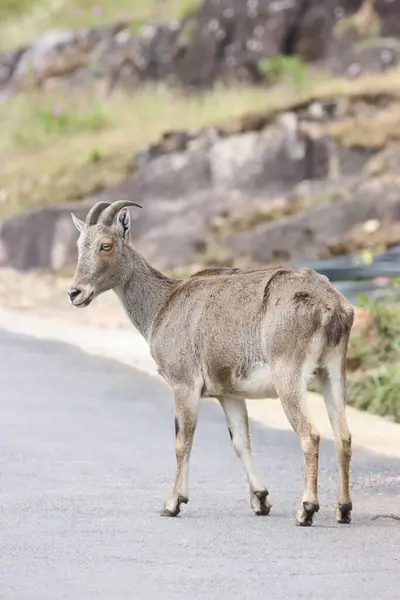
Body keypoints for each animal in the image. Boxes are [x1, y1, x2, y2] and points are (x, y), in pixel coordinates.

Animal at [69, 200, 356, 524]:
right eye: (79, 245)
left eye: (106, 245)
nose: (75, 293)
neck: (162, 305)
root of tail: (333, 307)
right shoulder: (229, 393)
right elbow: (240, 442)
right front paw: (260, 499)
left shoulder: (184, 383)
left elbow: (183, 440)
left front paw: (173, 502)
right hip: (332, 371)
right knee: (343, 437)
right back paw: (343, 509)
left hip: (289, 374)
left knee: (311, 435)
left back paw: (306, 509)